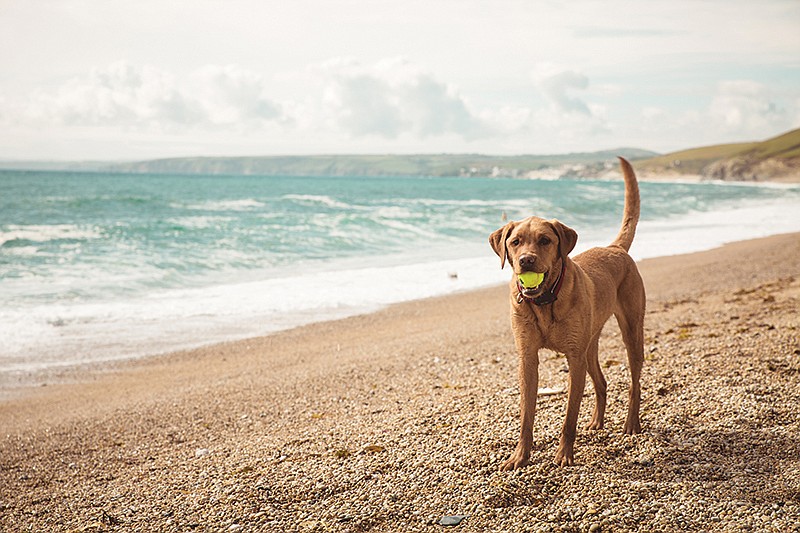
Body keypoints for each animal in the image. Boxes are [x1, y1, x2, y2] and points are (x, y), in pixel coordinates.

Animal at [488, 156, 644, 468]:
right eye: (515, 241)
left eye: (545, 240)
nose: (526, 260)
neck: (545, 300)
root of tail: (615, 248)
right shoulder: (527, 358)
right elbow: (526, 414)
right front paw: (520, 455)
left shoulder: (574, 357)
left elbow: (569, 416)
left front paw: (564, 453)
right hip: (590, 344)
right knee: (602, 382)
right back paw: (597, 422)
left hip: (632, 332)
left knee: (634, 381)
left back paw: (631, 423)